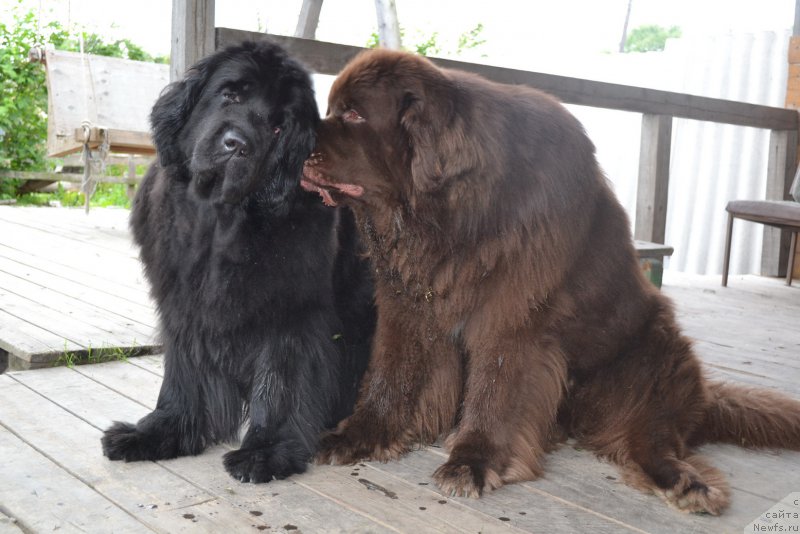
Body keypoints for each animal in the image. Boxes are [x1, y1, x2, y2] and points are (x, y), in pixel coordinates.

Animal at [101, 40, 374, 486]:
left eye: (278, 126)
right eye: (230, 95)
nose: (237, 144)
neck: (218, 224)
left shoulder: (291, 317)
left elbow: (280, 384)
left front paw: (266, 452)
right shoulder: (186, 309)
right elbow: (185, 376)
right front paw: (162, 431)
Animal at [302, 49, 800, 516]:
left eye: (354, 114)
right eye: (331, 108)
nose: (297, 136)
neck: (454, 213)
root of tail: (703, 395)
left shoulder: (514, 317)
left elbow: (496, 389)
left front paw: (473, 461)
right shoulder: (409, 304)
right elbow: (390, 372)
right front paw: (359, 435)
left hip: (649, 362)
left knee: (653, 437)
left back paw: (684, 482)